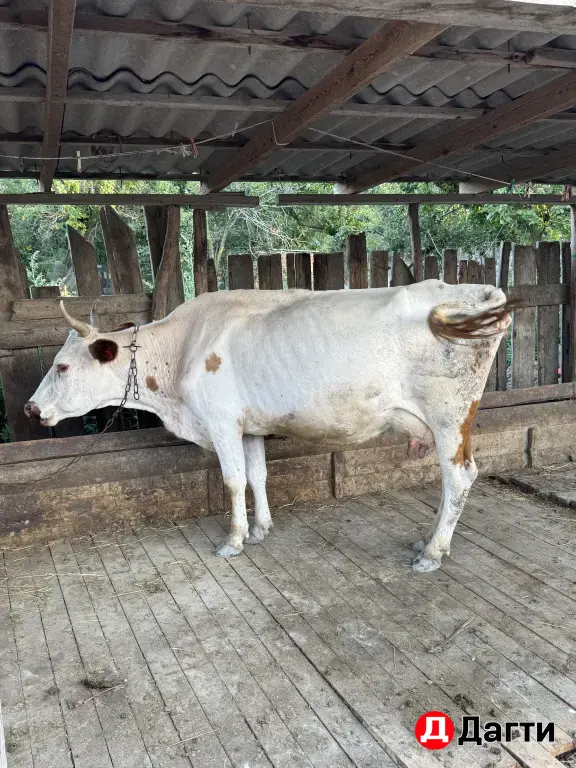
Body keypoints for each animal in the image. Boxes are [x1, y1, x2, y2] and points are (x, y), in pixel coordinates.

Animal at [25, 281, 511, 572]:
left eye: (62, 366)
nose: (30, 408)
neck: (180, 350)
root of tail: (476, 291)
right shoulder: (249, 427)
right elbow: (257, 475)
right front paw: (260, 529)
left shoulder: (221, 421)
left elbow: (233, 480)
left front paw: (235, 539)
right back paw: (426, 541)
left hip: (449, 416)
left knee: (459, 476)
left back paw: (432, 552)